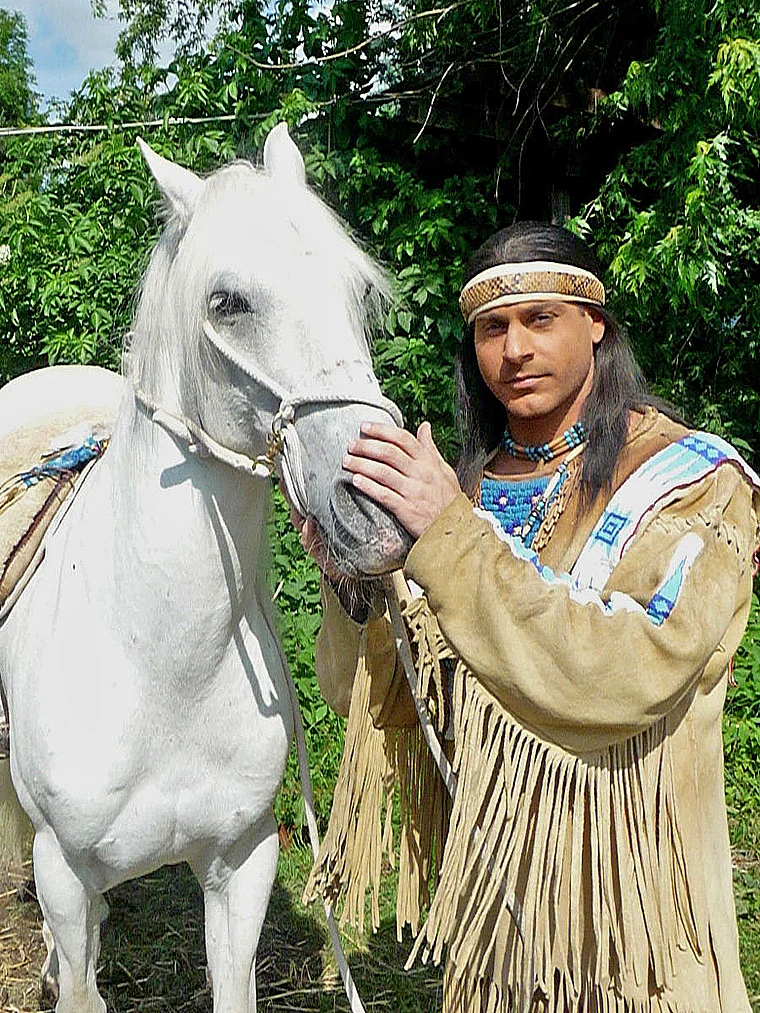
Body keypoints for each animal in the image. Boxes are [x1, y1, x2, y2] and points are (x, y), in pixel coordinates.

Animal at [0, 123, 410, 1013]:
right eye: (228, 302)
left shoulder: (242, 866)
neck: (159, 660)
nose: (380, 511)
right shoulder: (65, 872)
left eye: (358, 292)